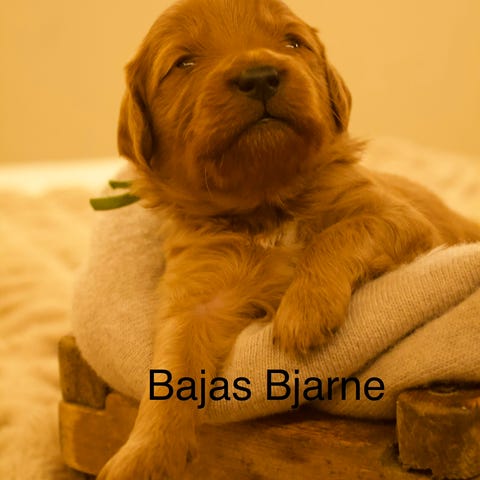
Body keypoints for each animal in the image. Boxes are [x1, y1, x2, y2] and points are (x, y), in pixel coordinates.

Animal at [97, 0, 480, 478]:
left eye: (292, 42)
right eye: (183, 62)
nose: (260, 75)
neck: (267, 207)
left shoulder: (397, 217)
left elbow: (336, 234)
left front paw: (304, 311)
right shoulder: (197, 294)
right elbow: (171, 365)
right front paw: (143, 455)